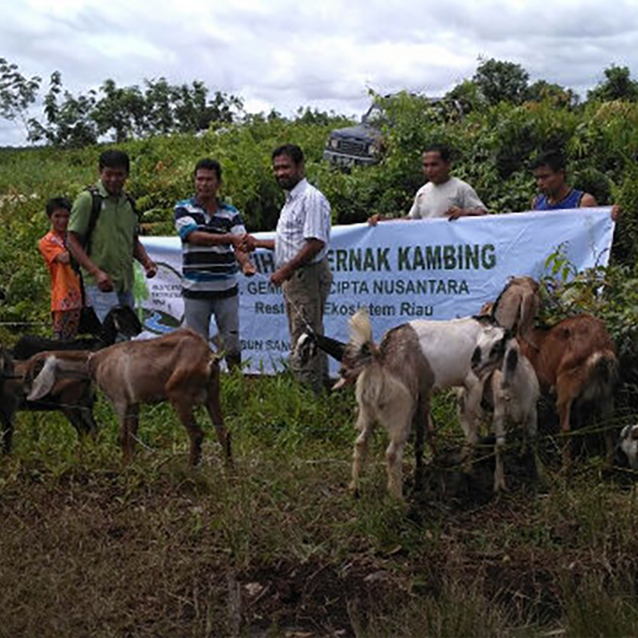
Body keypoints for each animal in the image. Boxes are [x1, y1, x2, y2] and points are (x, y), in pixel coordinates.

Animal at [27, 330, 232, 464]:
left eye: (34, 367)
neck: (95, 362)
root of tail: (208, 356)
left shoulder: (119, 400)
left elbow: (122, 437)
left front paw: (123, 468)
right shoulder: (134, 403)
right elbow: (132, 436)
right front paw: (131, 466)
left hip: (178, 395)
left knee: (196, 434)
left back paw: (190, 472)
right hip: (212, 394)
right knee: (224, 433)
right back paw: (229, 473)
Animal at [338, 308, 512, 500]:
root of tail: (380, 361)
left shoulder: (426, 393)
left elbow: (426, 433)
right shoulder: (474, 383)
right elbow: (473, 429)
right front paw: (469, 468)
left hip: (369, 412)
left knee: (360, 443)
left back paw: (354, 488)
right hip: (402, 413)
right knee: (392, 453)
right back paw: (397, 499)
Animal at [520, 316, 620, 470]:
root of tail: (600, 347)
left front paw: (524, 453)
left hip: (566, 386)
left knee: (566, 428)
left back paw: (565, 469)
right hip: (607, 391)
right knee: (608, 424)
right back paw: (607, 465)